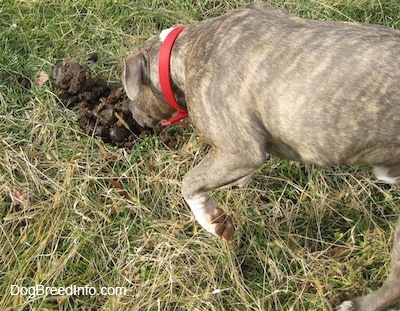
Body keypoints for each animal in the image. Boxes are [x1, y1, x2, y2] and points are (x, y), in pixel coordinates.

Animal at [122, 1, 400, 310]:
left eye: (130, 96)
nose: (130, 115)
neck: (185, 51)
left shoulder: (242, 149)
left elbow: (190, 183)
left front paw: (212, 221)